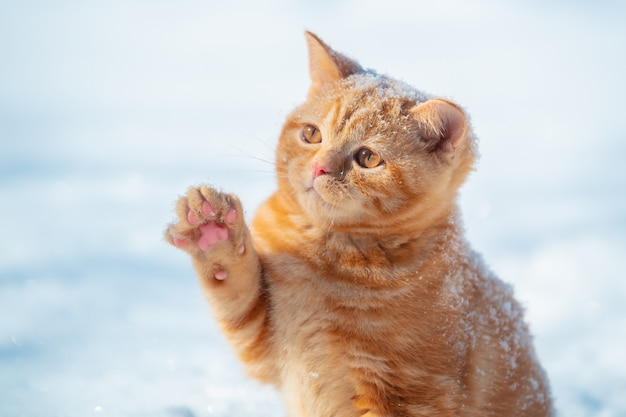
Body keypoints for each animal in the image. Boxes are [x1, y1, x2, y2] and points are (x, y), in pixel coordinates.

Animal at [165, 30, 552, 414]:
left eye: (367, 157)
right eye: (311, 134)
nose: (319, 168)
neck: (323, 255)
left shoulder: (410, 393)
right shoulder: (263, 342)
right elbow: (236, 293)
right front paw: (213, 234)